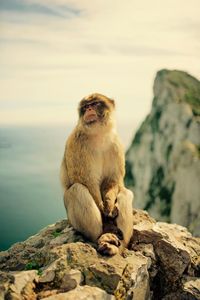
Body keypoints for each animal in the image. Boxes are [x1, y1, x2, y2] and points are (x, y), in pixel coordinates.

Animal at [60, 92, 134, 254]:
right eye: (85, 106)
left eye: (94, 104)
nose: (88, 110)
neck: (99, 135)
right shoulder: (77, 143)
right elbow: (86, 182)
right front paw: (105, 217)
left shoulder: (116, 145)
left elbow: (112, 181)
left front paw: (109, 204)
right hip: (72, 220)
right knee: (76, 189)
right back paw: (101, 238)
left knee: (125, 193)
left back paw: (120, 245)